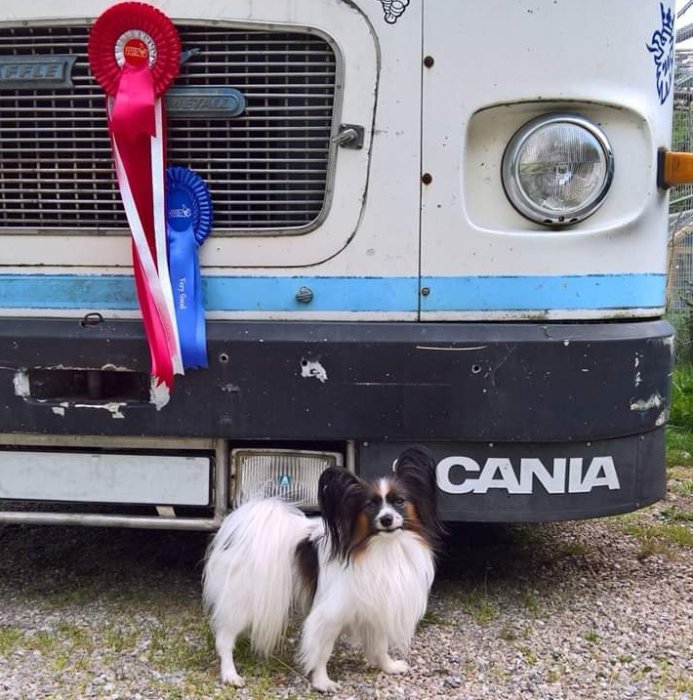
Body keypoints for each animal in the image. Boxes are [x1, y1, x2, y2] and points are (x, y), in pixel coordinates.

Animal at [200, 446, 444, 692]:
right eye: (370, 506)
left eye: (400, 501)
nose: (386, 519)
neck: (385, 548)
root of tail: (241, 526)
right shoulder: (329, 614)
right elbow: (322, 651)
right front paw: (322, 681)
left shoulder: (377, 604)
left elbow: (380, 644)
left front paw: (389, 666)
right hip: (241, 599)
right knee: (224, 638)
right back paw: (230, 675)